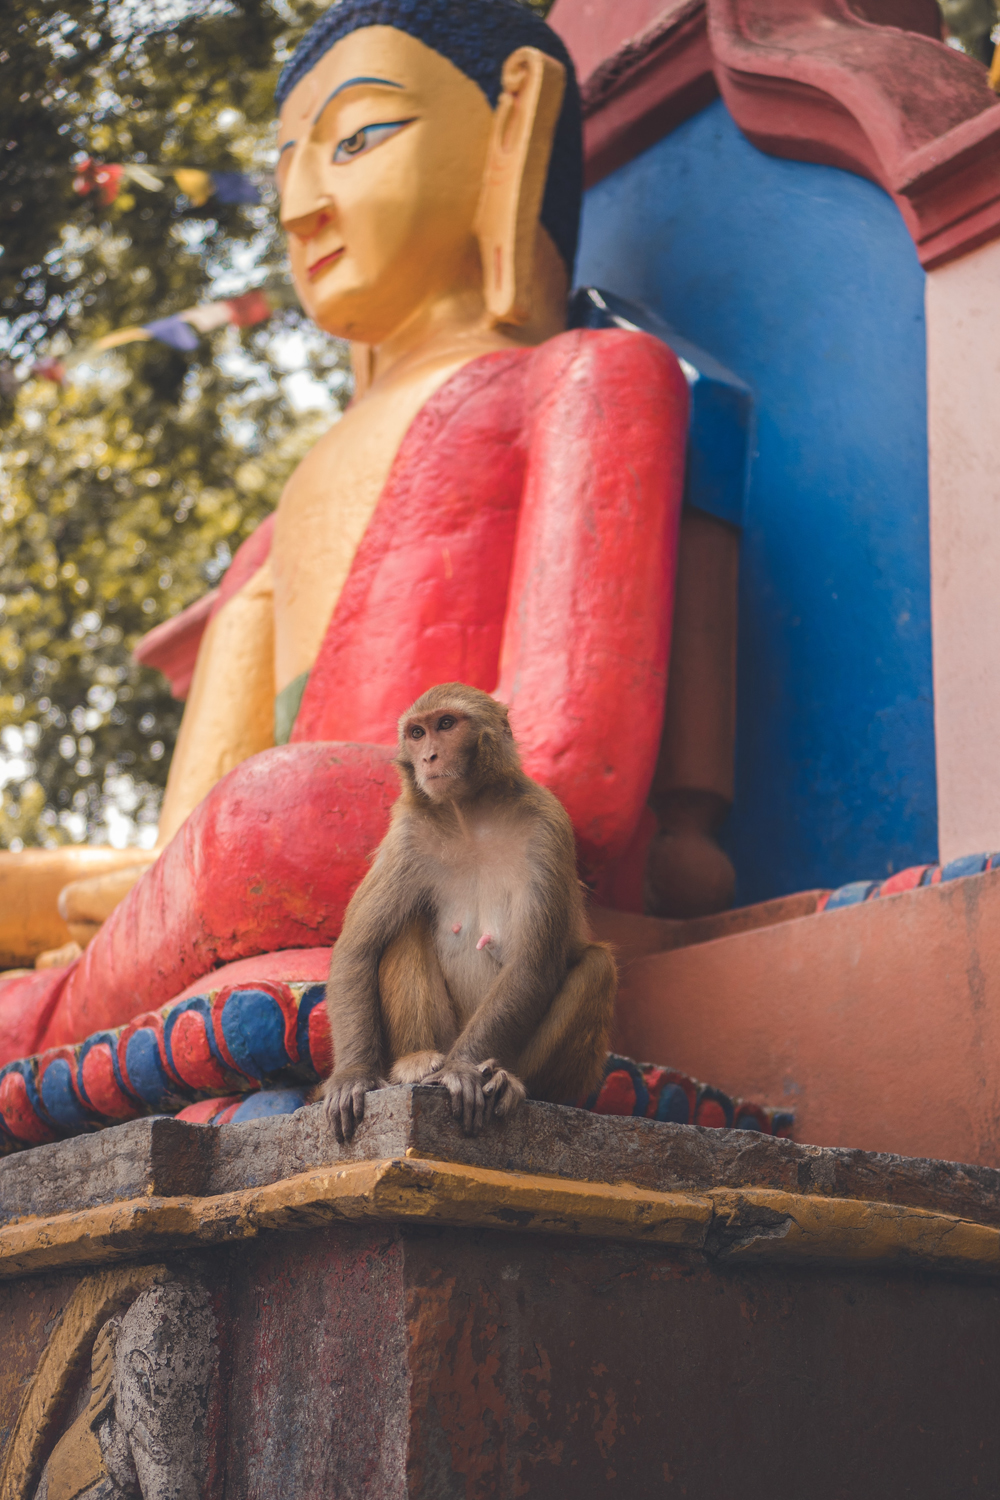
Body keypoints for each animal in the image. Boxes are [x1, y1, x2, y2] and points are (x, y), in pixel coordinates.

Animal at [320, 687, 617, 1140]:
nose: (428, 757)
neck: (469, 814)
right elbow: (359, 949)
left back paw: (509, 1082)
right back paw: (416, 1062)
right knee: (405, 928)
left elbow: (531, 965)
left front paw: (462, 1070)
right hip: (445, 1033)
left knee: (597, 965)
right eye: (417, 733)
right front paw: (353, 1074)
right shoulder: (407, 834)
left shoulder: (547, 825)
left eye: (446, 725)